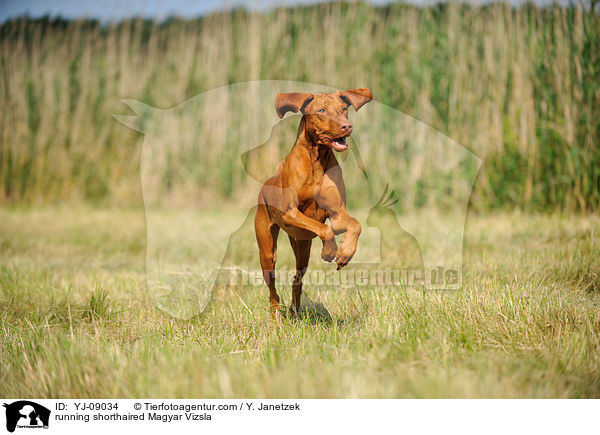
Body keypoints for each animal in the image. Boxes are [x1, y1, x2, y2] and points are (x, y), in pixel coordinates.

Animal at [255, 88, 372, 320]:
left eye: (344, 108)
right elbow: (324, 229)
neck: (316, 160)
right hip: (267, 252)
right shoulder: (290, 213)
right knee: (272, 289)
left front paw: (345, 252)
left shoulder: (337, 213)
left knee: (297, 280)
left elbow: (355, 225)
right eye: (322, 111)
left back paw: (295, 310)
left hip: (302, 247)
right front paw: (330, 250)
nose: (347, 126)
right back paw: (276, 317)